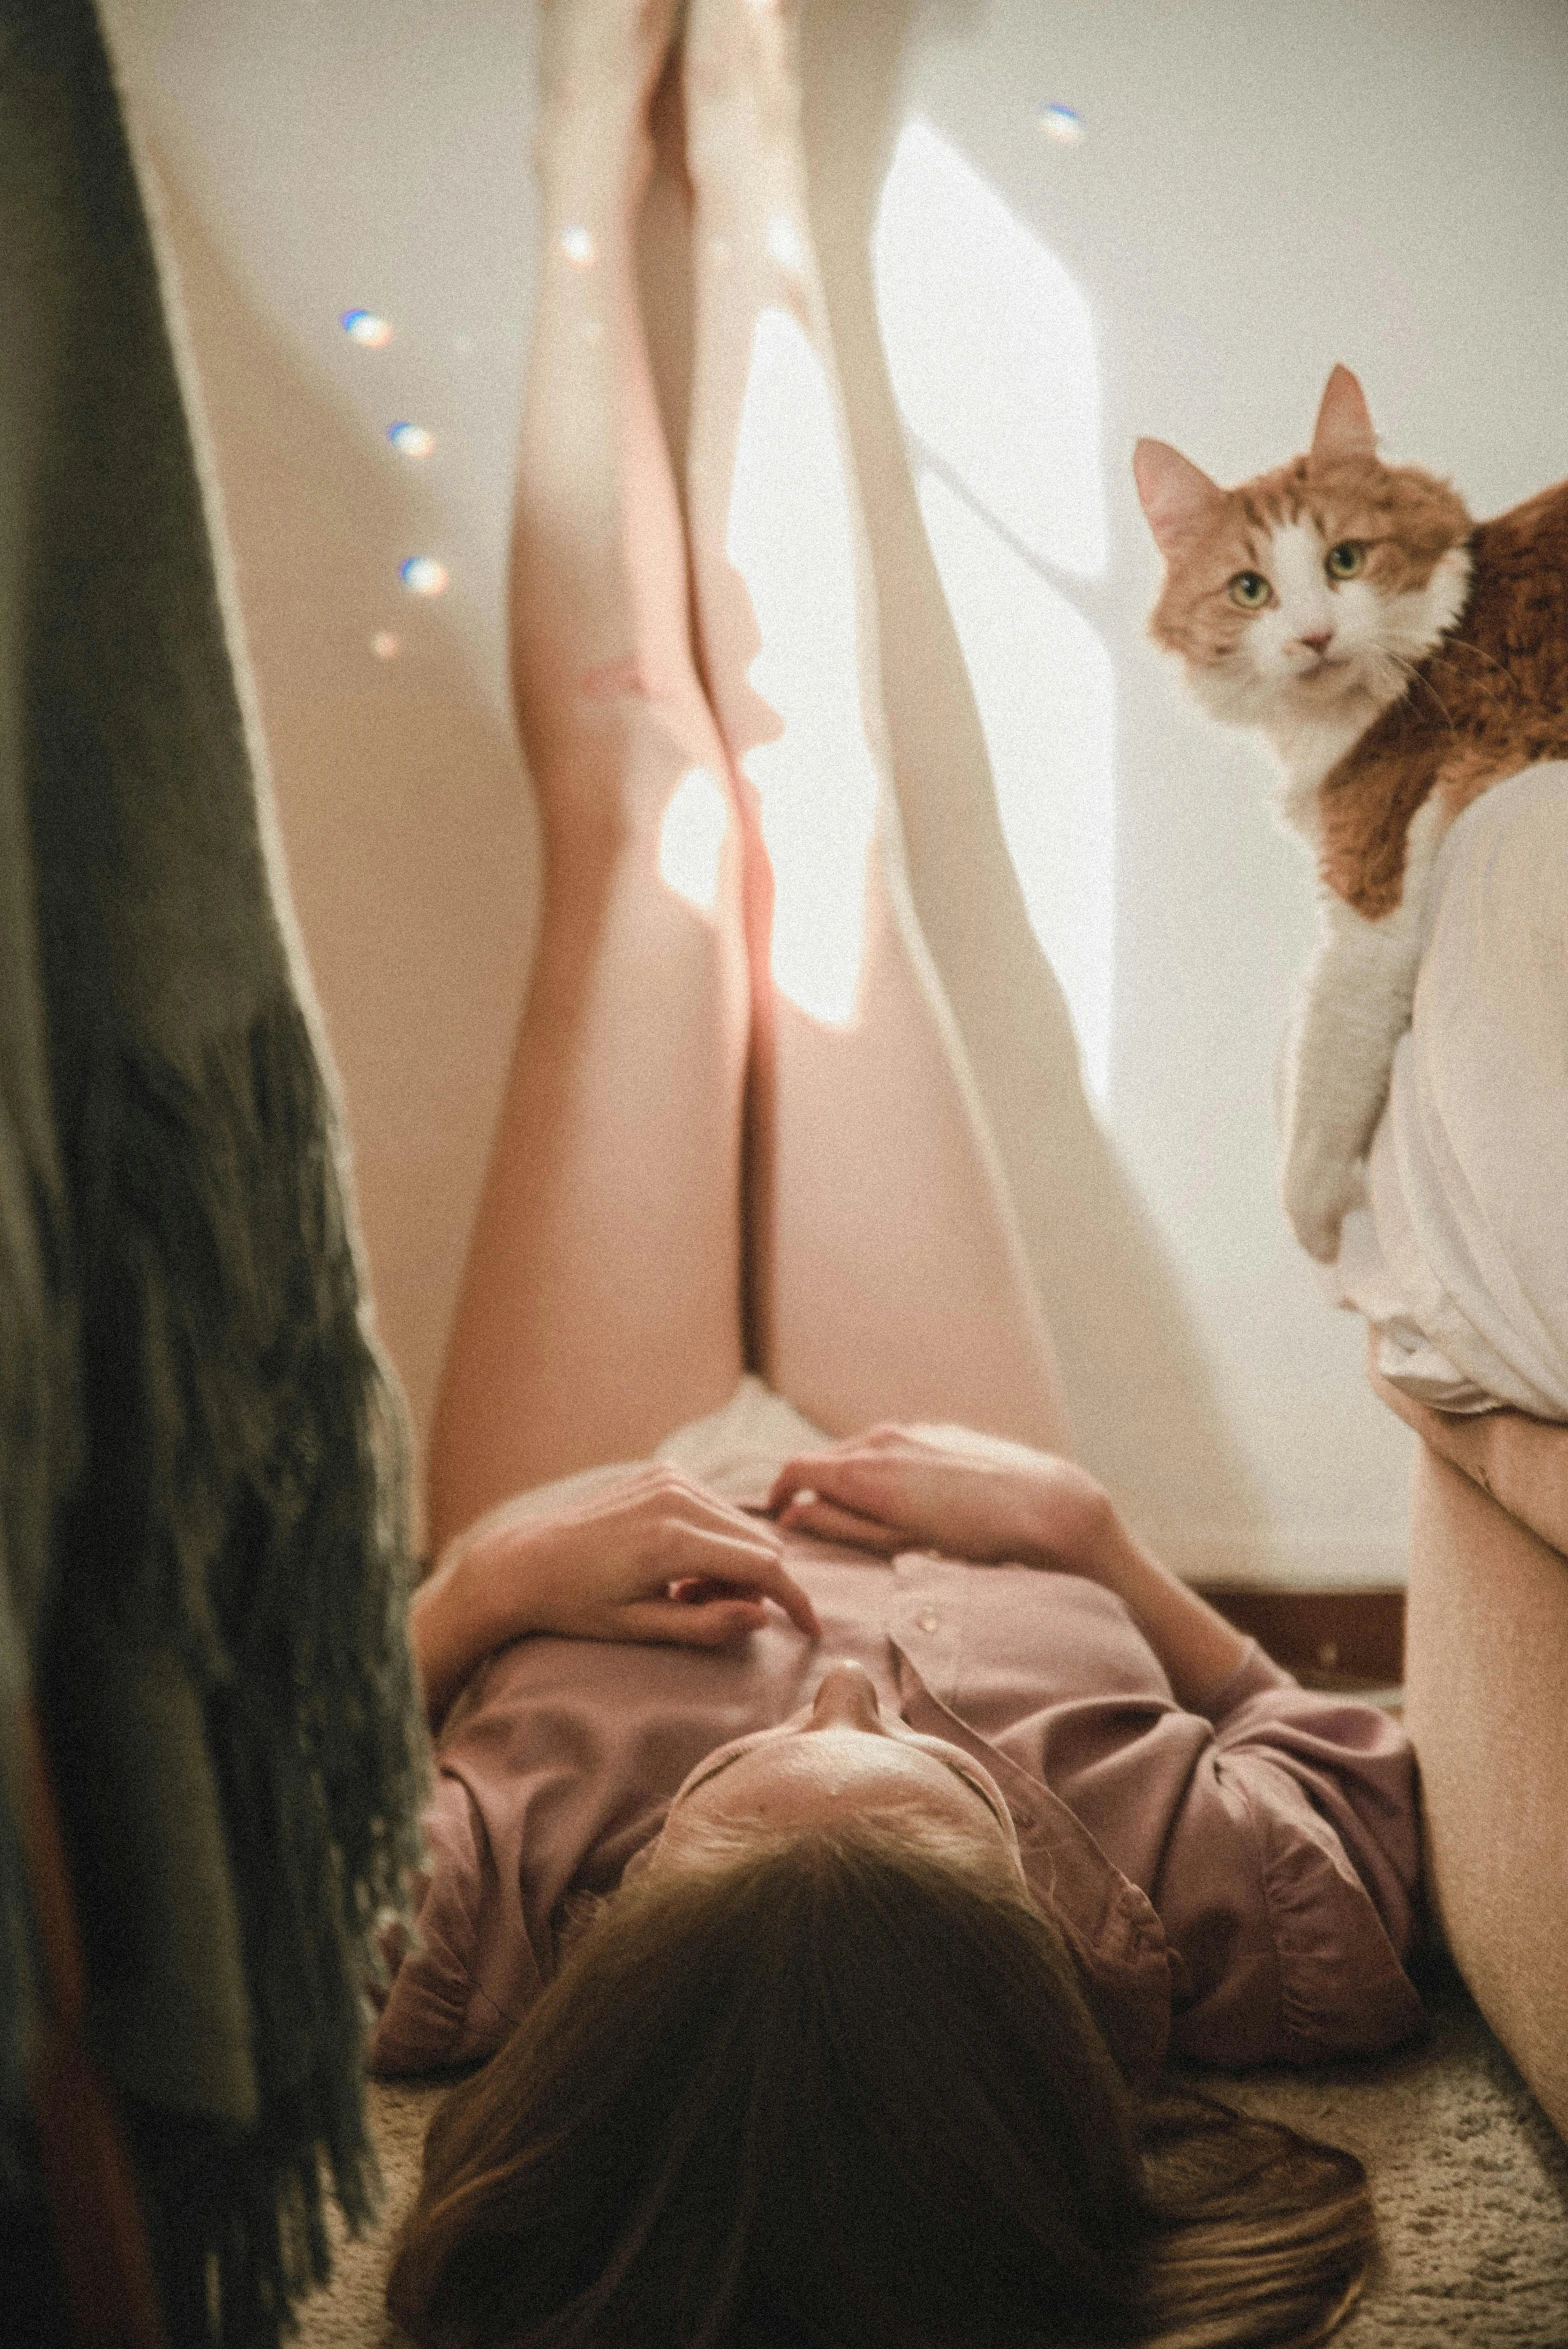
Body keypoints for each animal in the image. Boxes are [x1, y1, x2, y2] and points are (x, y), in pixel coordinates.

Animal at [1131, 373, 1558, 1268]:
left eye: (1345, 560)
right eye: (1249, 589)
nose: (1315, 636)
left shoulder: (1372, 895)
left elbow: (1322, 1064)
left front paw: (1318, 1234)